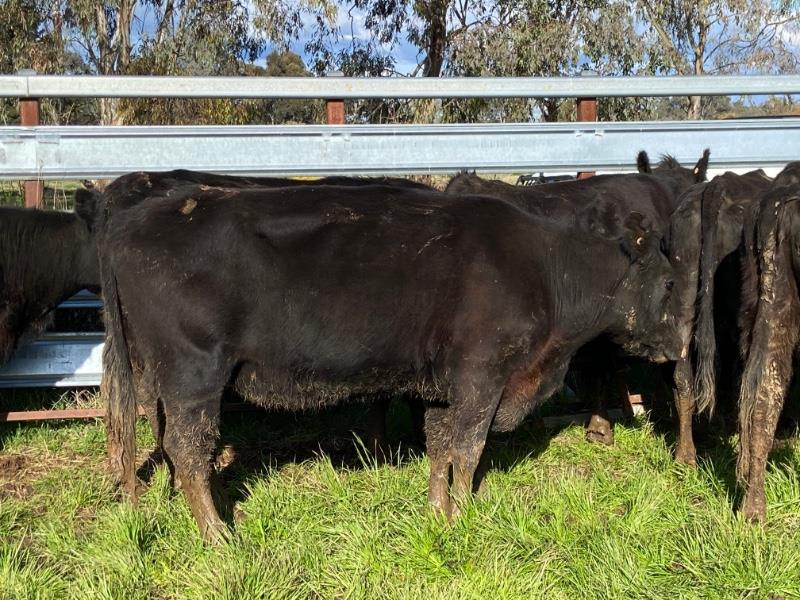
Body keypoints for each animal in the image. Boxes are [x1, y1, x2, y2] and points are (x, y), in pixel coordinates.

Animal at [89, 174, 683, 539]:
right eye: (670, 281)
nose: (681, 345)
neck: (549, 270)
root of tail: (128, 223)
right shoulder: (482, 379)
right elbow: (468, 448)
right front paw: (465, 517)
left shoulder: (448, 389)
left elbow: (441, 446)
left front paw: (439, 511)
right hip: (193, 376)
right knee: (189, 449)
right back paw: (218, 535)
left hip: (163, 378)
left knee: (170, 442)